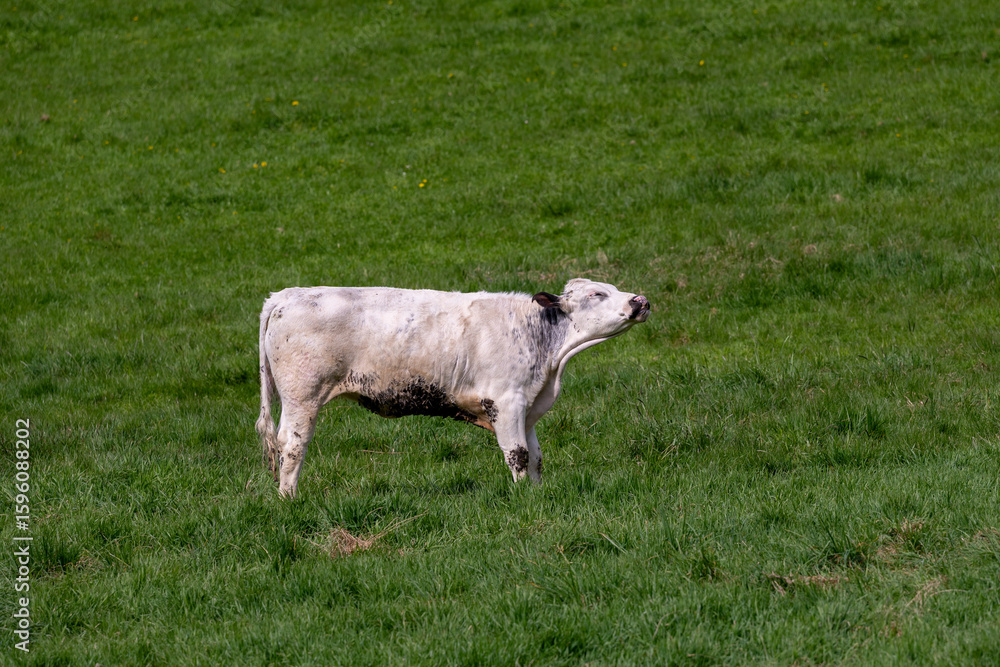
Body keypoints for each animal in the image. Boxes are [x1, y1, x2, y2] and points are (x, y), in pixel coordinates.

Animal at [256, 278, 650, 498]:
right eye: (598, 294)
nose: (641, 300)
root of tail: (285, 295)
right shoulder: (505, 401)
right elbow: (518, 454)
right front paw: (523, 499)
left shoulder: (529, 406)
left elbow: (536, 455)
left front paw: (537, 496)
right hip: (303, 396)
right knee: (292, 445)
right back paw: (289, 499)